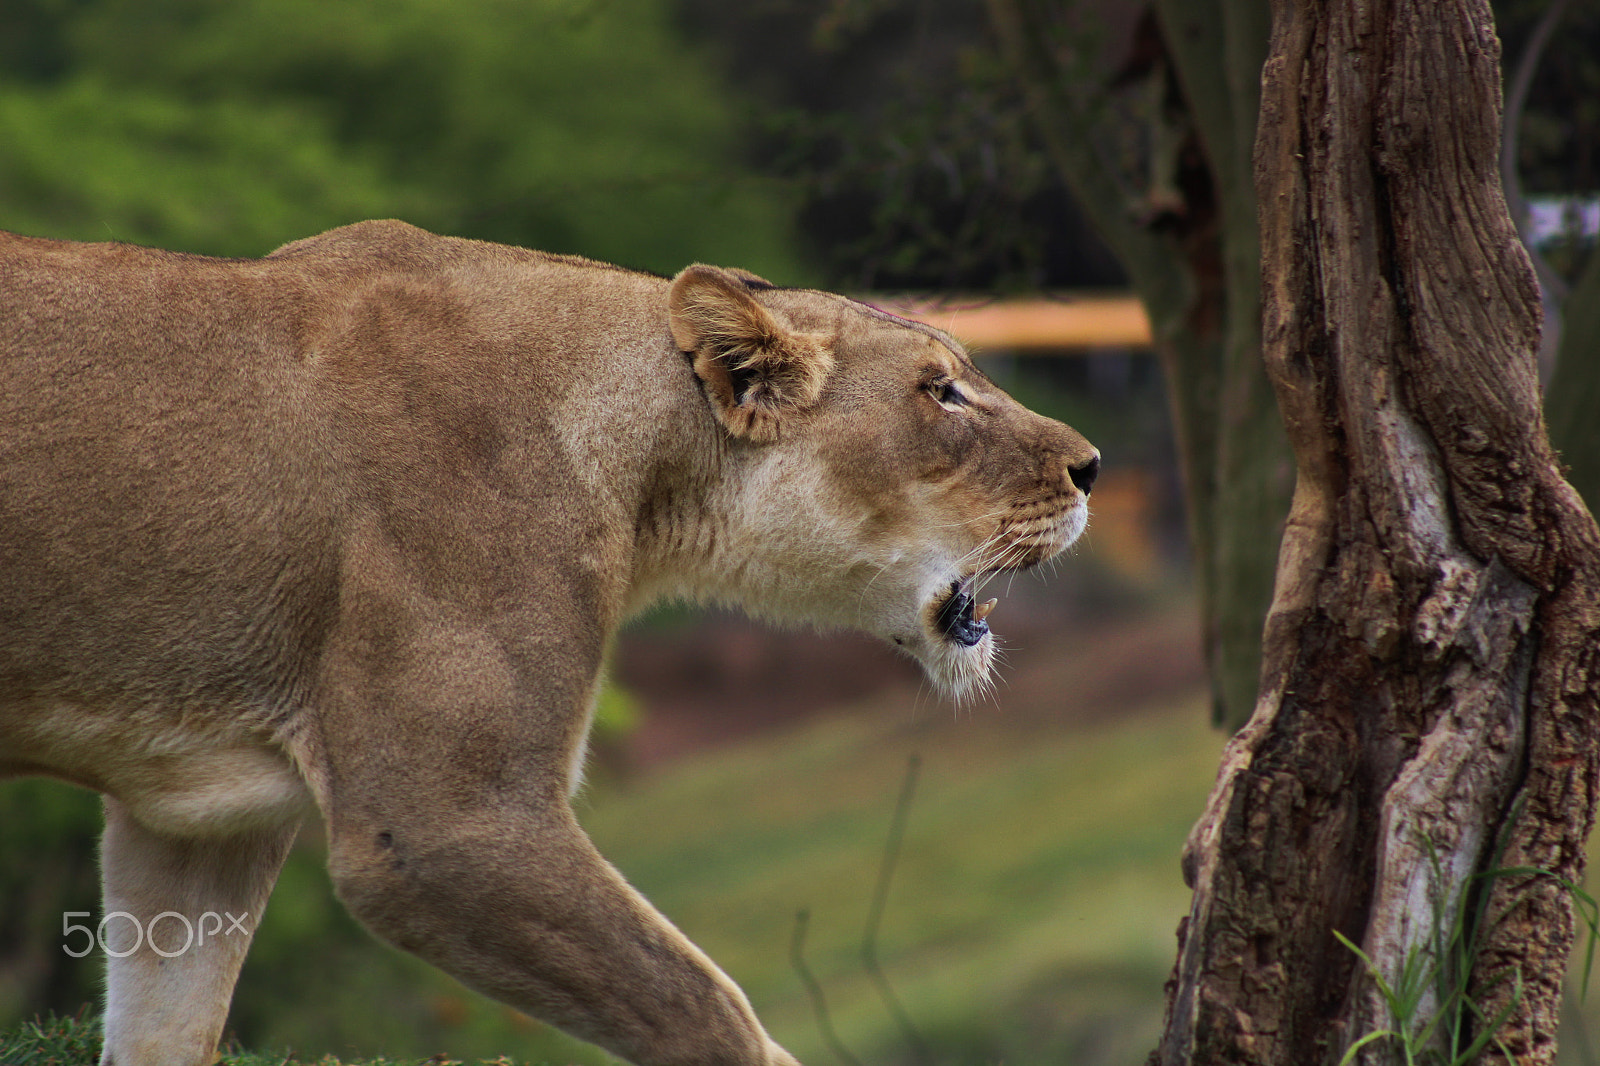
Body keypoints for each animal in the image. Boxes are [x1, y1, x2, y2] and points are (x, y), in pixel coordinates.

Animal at [0, 220, 1099, 1066]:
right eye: (940, 390)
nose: (1092, 465)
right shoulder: (445, 823)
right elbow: (707, 1007)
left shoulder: (196, 823)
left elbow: (166, 1023)